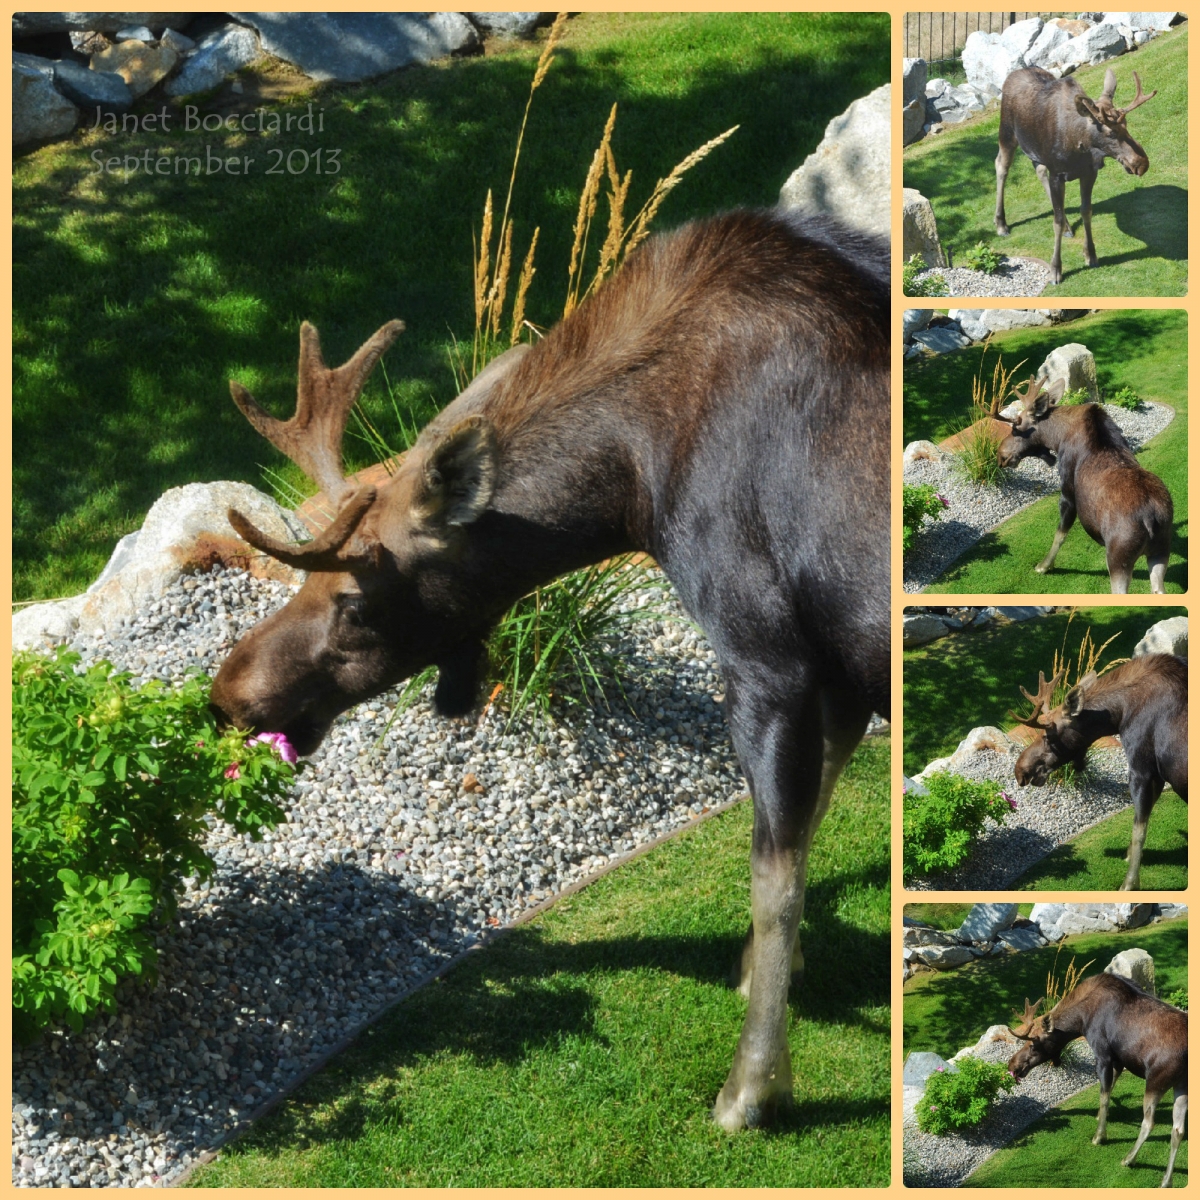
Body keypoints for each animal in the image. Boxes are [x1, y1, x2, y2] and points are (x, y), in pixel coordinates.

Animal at [211, 208, 892, 1132]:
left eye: (352, 600)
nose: (229, 692)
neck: (632, 485)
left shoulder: (766, 656)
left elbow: (774, 878)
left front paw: (752, 1087)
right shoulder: (843, 673)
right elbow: (810, 825)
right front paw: (755, 976)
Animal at [993, 374, 1171, 590]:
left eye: (1015, 427)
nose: (1000, 455)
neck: (1057, 438)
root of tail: (1151, 519)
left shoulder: (1068, 494)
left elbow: (1060, 534)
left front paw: (1044, 566)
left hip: (1119, 557)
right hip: (1161, 550)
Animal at [998, 66, 1156, 282]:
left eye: (1127, 125)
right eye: (1110, 133)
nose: (1141, 163)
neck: (1077, 145)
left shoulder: (1089, 173)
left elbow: (1086, 211)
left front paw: (1091, 254)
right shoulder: (1057, 174)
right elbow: (1055, 221)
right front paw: (1056, 269)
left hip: (1034, 151)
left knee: (1039, 170)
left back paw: (1067, 225)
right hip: (1006, 133)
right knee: (1001, 167)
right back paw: (1001, 224)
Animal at [1008, 974, 1185, 1190]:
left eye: (1033, 1044)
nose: (1012, 1065)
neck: (1080, 1021)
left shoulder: (1103, 1054)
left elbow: (1104, 1095)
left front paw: (1099, 1136)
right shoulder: (1118, 1060)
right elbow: (1110, 1089)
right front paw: (1099, 1116)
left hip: (1156, 1080)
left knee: (1149, 1123)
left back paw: (1129, 1159)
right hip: (1182, 1085)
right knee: (1178, 1130)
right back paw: (1166, 1180)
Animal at [1012, 657, 1190, 892]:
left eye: (1047, 735)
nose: (1020, 770)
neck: (1119, 715)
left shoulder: (1141, 769)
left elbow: (1139, 829)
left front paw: (1129, 884)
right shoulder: (1157, 775)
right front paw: (1128, 855)